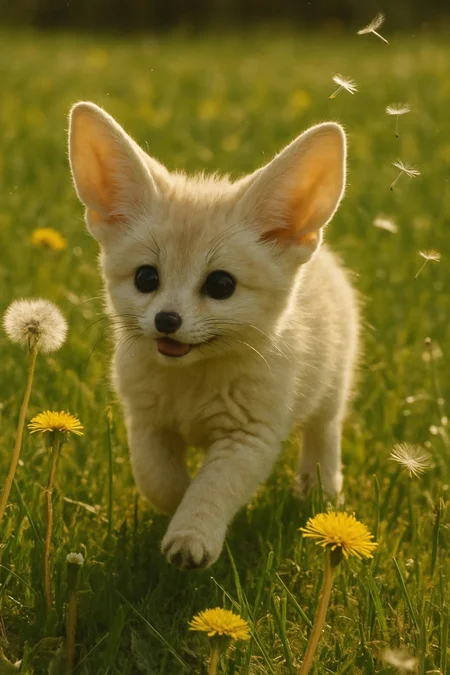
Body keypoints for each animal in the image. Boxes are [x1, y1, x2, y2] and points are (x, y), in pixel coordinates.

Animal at [69, 102, 359, 569]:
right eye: (146, 278)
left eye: (221, 285)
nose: (167, 320)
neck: (193, 384)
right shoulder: (146, 423)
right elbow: (161, 481)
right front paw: (178, 508)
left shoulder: (248, 436)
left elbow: (212, 488)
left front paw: (192, 534)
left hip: (330, 392)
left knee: (323, 435)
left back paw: (320, 491)